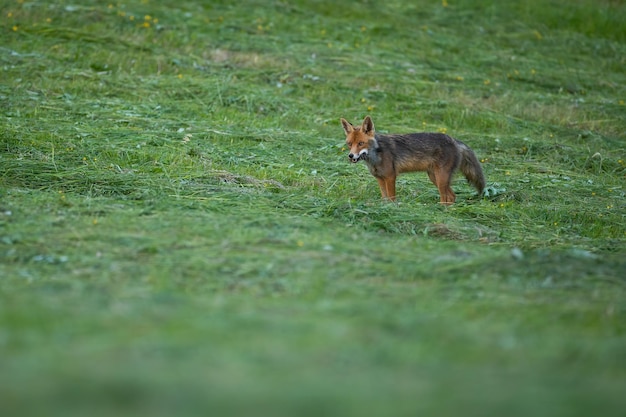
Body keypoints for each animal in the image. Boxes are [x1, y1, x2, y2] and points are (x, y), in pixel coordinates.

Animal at [342, 116, 482, 204]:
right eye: (349, 144)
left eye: (361, 143)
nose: (351, 155)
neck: (376, 157)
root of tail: (454, 140)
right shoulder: (380, 179)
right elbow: (385, 198)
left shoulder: (390, 177)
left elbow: (392, 198)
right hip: (435, 178)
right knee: (452, 196)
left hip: (441, 179)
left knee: (446, 197)